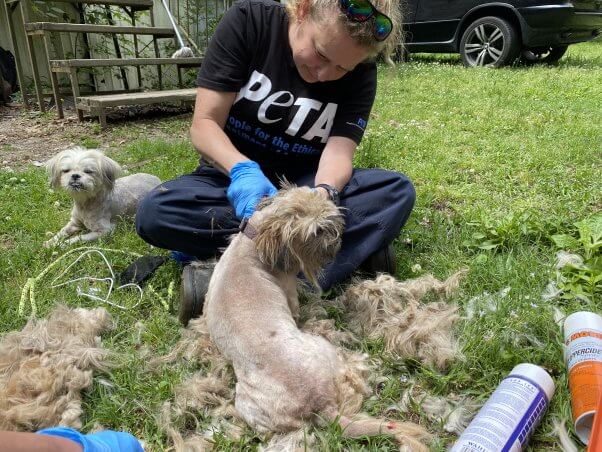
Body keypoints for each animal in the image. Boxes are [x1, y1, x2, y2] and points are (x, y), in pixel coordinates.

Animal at [204, 185, 428, 450]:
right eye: (317, 231)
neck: (251, 245)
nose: (337, 237)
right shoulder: (290, 295)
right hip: (318, 350)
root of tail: (320, 405)